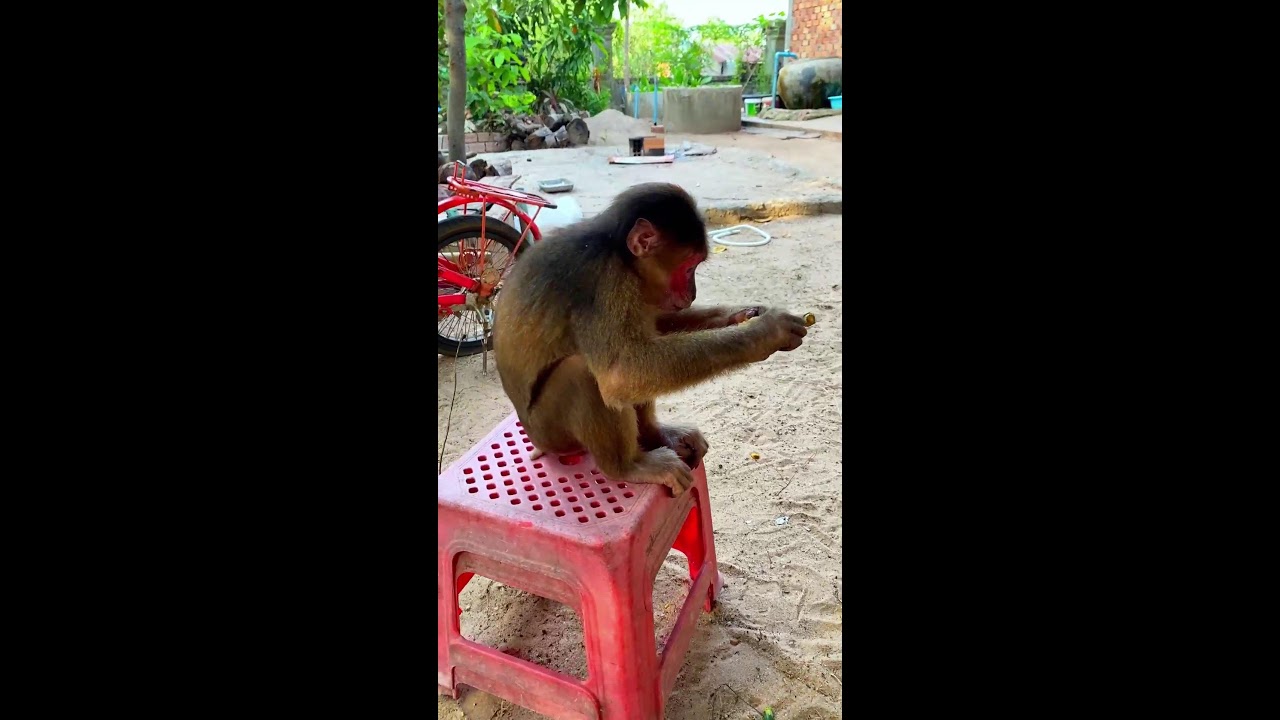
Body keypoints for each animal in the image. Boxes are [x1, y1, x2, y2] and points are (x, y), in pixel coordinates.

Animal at [492, 182, 808, 496]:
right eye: (689, 267)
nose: (692, 293)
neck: (617, 252)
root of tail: (536, 440)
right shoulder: (604, 285)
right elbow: (620, 373)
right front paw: (766, 332)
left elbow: (654, 330)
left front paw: (742, 315)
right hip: (553, 433)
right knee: (582, 372)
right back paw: (625, 467)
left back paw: (654, 434)